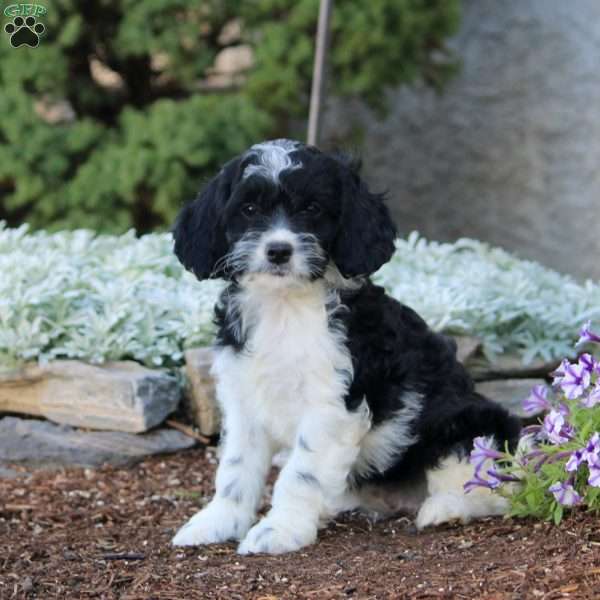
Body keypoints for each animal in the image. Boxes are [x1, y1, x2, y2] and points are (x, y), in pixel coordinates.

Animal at [170, 138, 520, 556]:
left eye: (312, 209)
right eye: (249, 209)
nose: (278, 251)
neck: (284, 306)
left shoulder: (332, 403)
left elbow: (299, 473)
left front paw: (280, 530)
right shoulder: (243, 400)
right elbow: (236, 468)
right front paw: (218, 522)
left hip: (469, 422)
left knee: (489, 486)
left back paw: (445, 508)